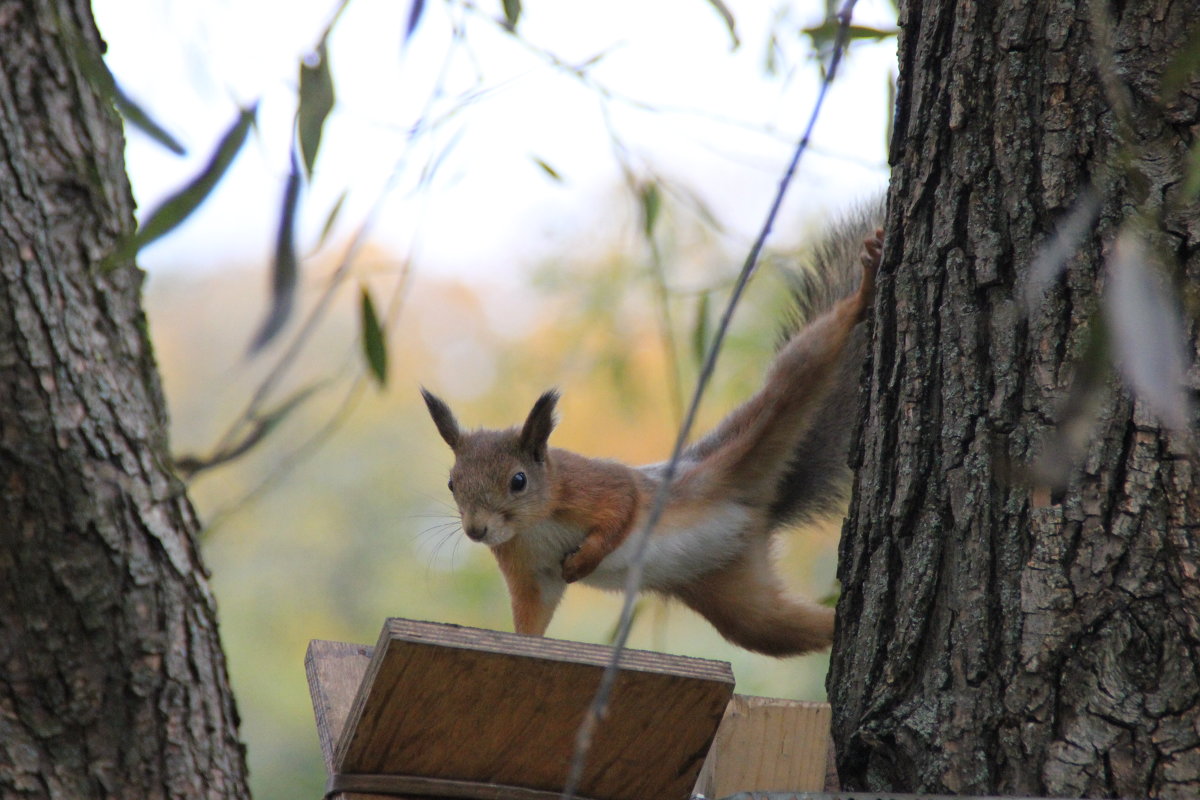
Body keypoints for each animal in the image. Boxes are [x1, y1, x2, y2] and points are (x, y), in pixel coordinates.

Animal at [422, 211, 883, 657]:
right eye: (451, 484)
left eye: (518, 481)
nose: (476, 531)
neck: (533, 524)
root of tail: (756, 509)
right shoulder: (527, 571)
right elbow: (532, 611)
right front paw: (518, 644)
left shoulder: (594, 484)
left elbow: (621, 510)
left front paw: (583, 563)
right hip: (739, 600)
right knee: (784, 628)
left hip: (758, 425)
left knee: (803, 363)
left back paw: (864, 290)